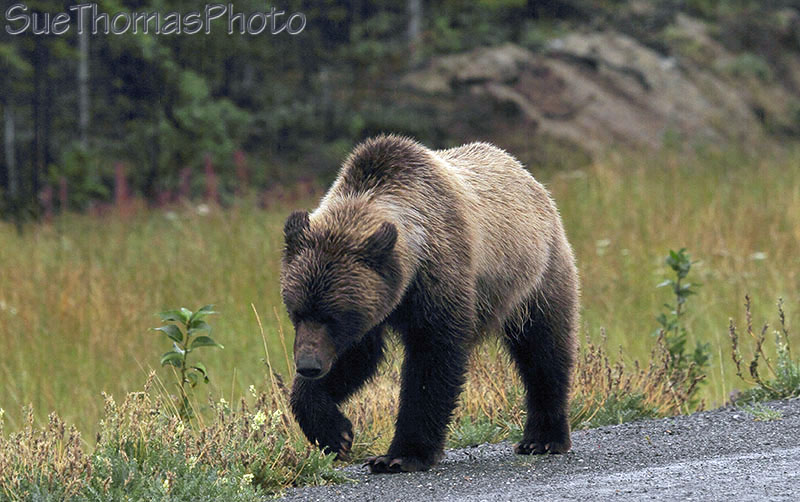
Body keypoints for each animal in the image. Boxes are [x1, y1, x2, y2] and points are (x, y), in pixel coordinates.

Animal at [280, 135, 579, 474]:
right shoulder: (373, 307)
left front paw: (400, 454)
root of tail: (529, 177)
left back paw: (543, 438)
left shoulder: (440, 277)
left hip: (536, 277)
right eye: (297, 312)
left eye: (333, 316)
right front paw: (335, 433)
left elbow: (432, 361)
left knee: (544, 350)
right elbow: (357, 357)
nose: (308, 365)